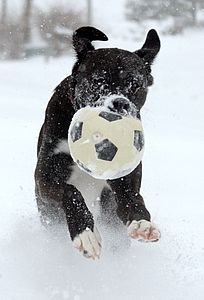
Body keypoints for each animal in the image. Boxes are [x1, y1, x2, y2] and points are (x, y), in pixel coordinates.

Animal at [35, 27, 161, 258]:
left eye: (136, 85)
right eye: (97, 81)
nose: (119, 103)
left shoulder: (124, 177)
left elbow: (132, 198)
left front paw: (142, 223)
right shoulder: (45, 177)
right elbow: (71, 192)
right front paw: (85, 233)